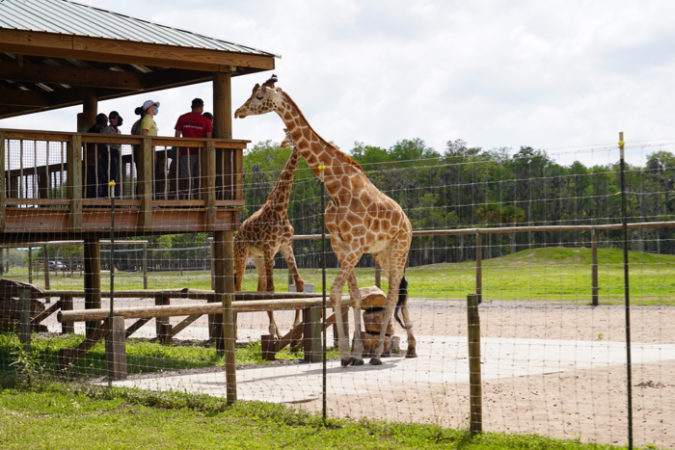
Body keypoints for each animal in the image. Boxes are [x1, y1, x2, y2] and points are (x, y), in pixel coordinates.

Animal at [235, 132, 304, 340]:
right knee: (237, 288)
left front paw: (295, 327)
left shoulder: (286, 246)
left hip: (258, 259)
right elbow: (272, 289)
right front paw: (274, 330)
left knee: (259, 290)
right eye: (288, 135)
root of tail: (236, 236)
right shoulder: (269, 247)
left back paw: (278, 331)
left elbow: (299, 283)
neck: (280, 209)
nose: (283, 143)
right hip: (242, 255)